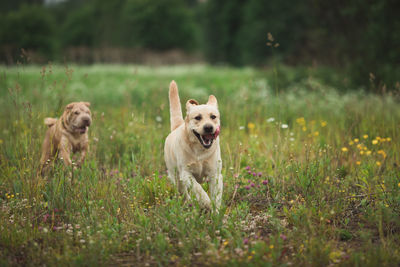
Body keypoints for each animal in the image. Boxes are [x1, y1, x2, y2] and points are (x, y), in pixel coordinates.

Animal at [164, 80, 223, 213]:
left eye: (213, 116)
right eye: (197, 117)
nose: (208, 127)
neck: (200, 150)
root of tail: (176, 126)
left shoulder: (215, 174)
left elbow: (216, 197)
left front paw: (216, 213)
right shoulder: (186, 174)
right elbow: (198, 189)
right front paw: (206, 203)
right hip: (176, 178)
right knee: (184, 193)